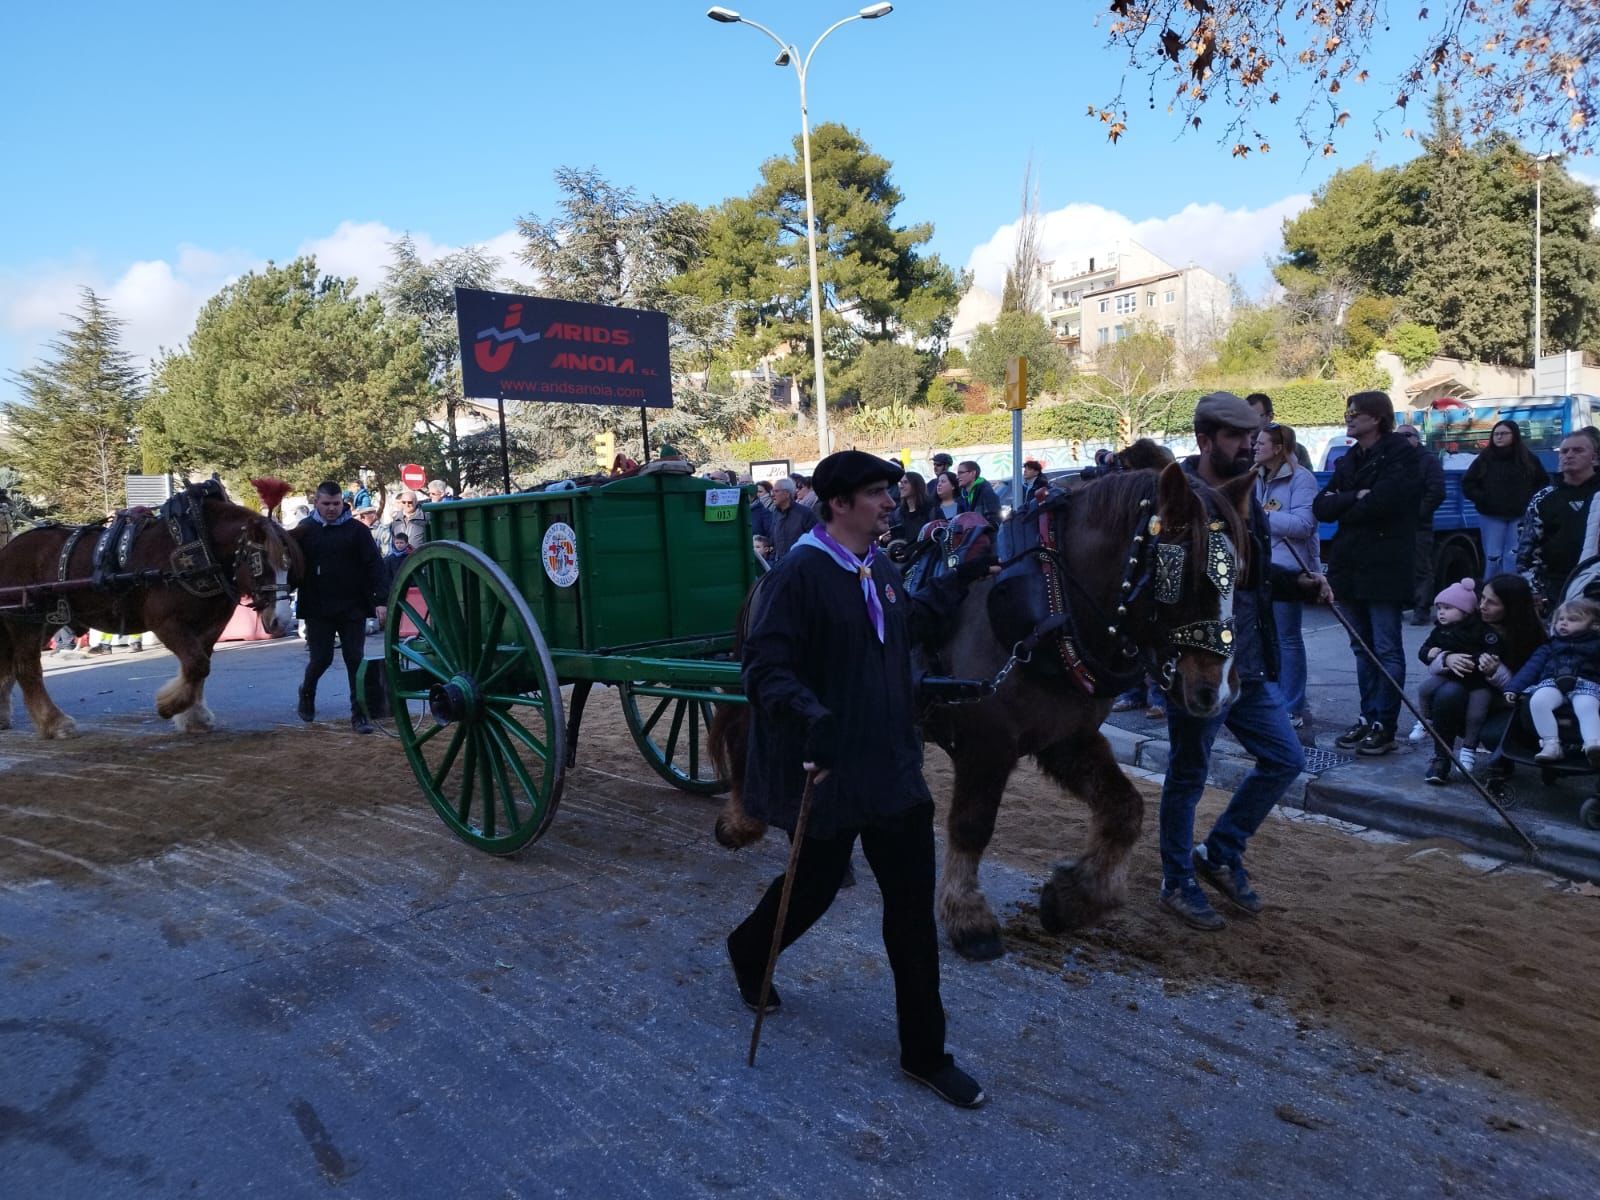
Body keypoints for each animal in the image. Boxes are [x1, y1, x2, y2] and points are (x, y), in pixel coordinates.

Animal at [0, 483, 300, 739]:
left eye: (289, 565)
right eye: (259, 563)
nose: (281, 621)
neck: (199, 544)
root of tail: (8, 549)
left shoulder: (209, 626)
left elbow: (200, 668)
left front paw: (193, 716)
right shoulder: (165, 622)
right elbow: (197, 664)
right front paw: (169, 706)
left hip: (45, 620)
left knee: (12, 665)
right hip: (25, 620)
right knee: (26, 668)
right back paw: (55, 722)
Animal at [710, 464, 1248, 966]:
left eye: (1238, 575)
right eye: (1183, 573)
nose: (1218, 691)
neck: (1050, 604)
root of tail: (771, 572)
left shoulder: (1065, 738)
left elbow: (1125, 809)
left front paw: (1072, 900)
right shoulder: (987, 744)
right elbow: (972, 825)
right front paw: (969, 918)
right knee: (746, 741)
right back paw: (742, 821)